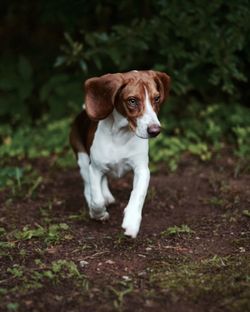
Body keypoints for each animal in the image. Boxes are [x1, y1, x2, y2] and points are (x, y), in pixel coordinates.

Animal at [69, 69, 171, 238]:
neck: (120, 135)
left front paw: (132, 222)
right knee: (88, 186)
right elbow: (97, 199)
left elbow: (138, 194)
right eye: (132, 101)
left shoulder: (142, 169)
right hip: (82, 159)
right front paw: (98, 214)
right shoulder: (94, 168)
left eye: (156, 98)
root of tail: (83, 112)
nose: (155, 131)